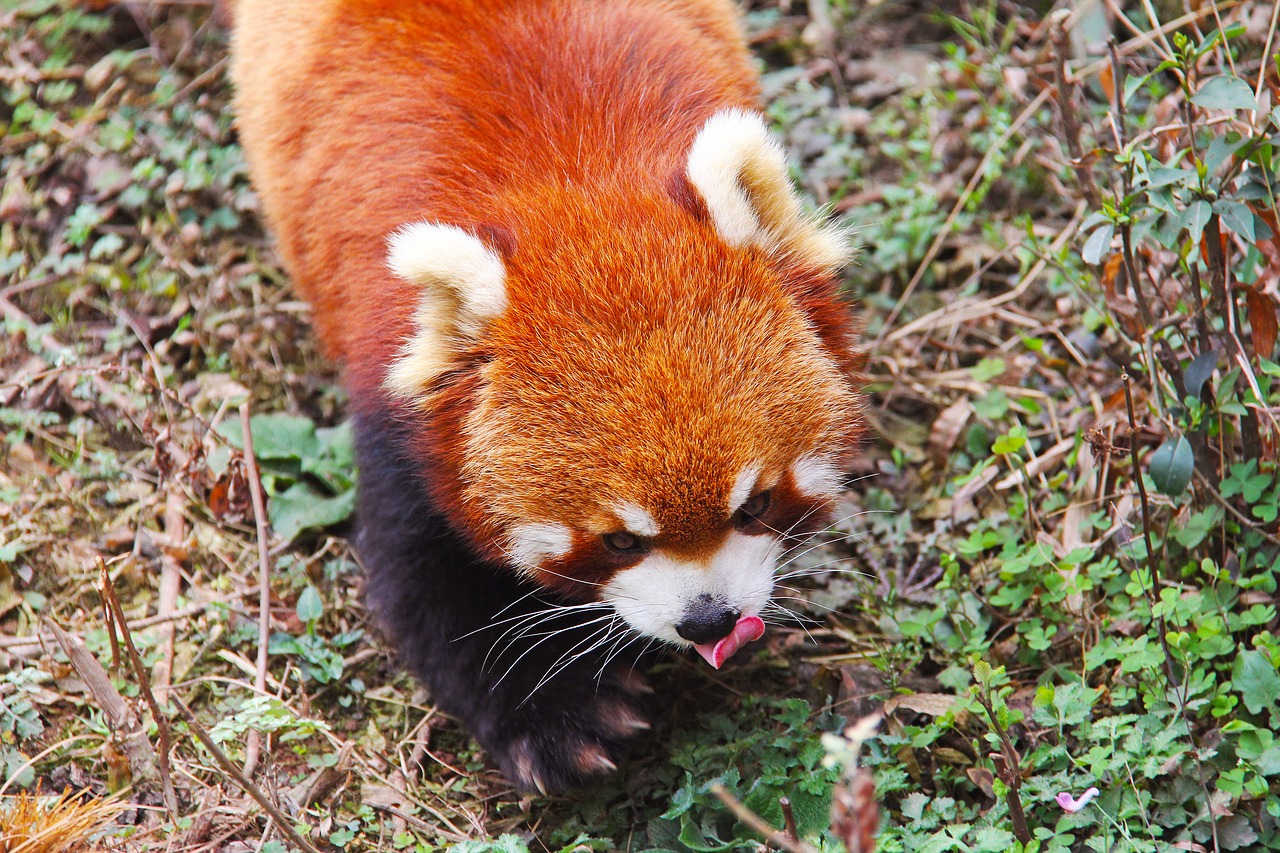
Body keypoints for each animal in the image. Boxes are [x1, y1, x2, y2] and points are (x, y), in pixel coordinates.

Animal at [234, 0, 865, 788]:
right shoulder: (397, 401)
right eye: (619, 539)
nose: (709, 619)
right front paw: (556, 718)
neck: (571, 186)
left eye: (755, 503)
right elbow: (425, 580)